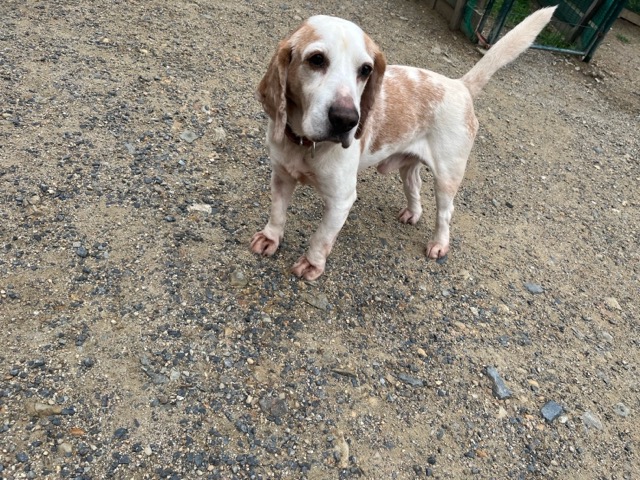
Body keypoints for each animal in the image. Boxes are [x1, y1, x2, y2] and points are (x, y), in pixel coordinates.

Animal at [251, 7, 556, 280]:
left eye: (365, 70)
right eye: (316, 59)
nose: (346, 120)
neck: (304, 146)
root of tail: (460, 85)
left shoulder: (340, 200)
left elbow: (321, 237)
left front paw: (312, 264)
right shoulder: (281, 177)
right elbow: (277, 213)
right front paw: (270, 238)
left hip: (447, 176)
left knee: (445, 212)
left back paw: (439, 244)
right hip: (408, 166)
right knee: (415, 186)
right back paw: (413, 212)